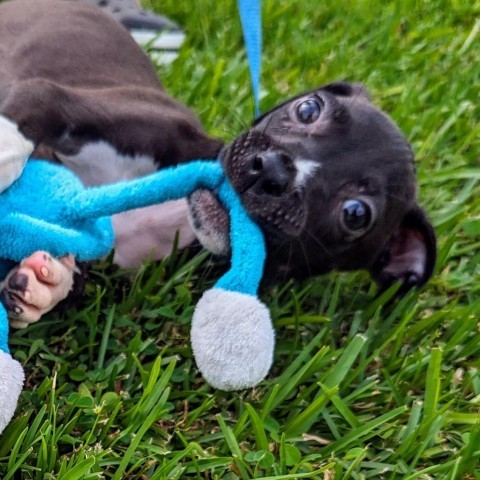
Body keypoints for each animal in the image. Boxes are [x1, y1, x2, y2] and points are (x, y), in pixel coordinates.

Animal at [0, 0, 436, 326]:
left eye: (356, 214)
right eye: (308, 109)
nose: (272, 169)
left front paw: (47, 285)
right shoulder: (60, 100)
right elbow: (29, 113)